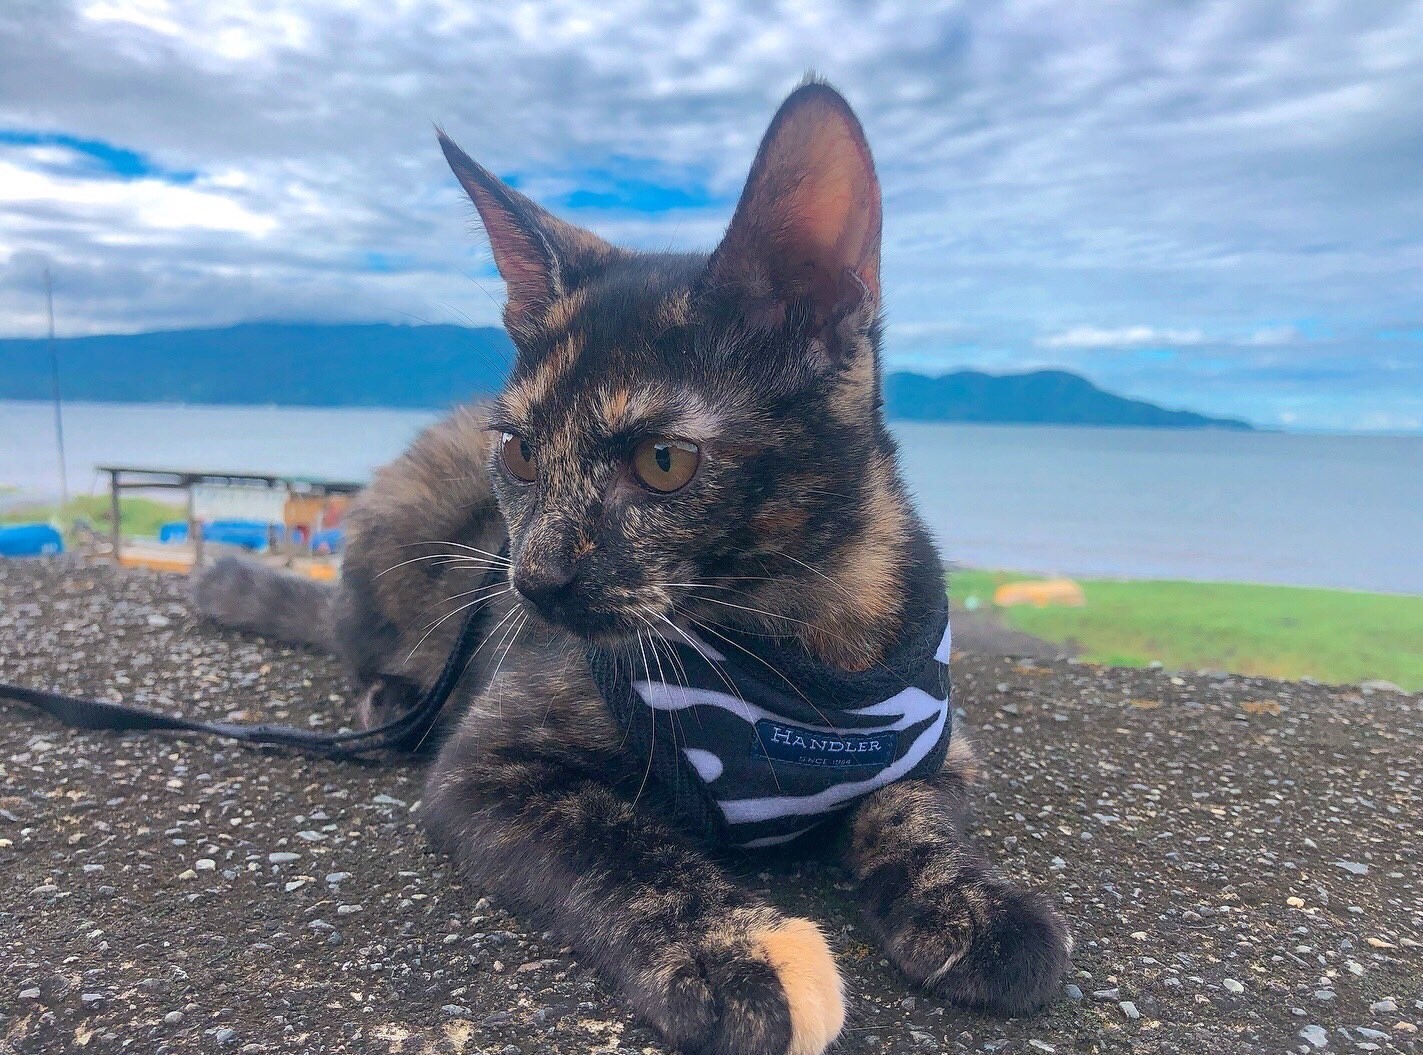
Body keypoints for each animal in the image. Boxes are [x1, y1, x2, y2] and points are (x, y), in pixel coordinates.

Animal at [195, 78, 1069, 1055]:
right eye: (520, 453)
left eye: (663, 462)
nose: (531, 580)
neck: (797, 636)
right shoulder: (484, 769)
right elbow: (621, 840)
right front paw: (741, 952)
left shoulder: (946, 754)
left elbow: (907, 811)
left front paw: (975, 906)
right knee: (362, 643)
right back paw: (392, 698)